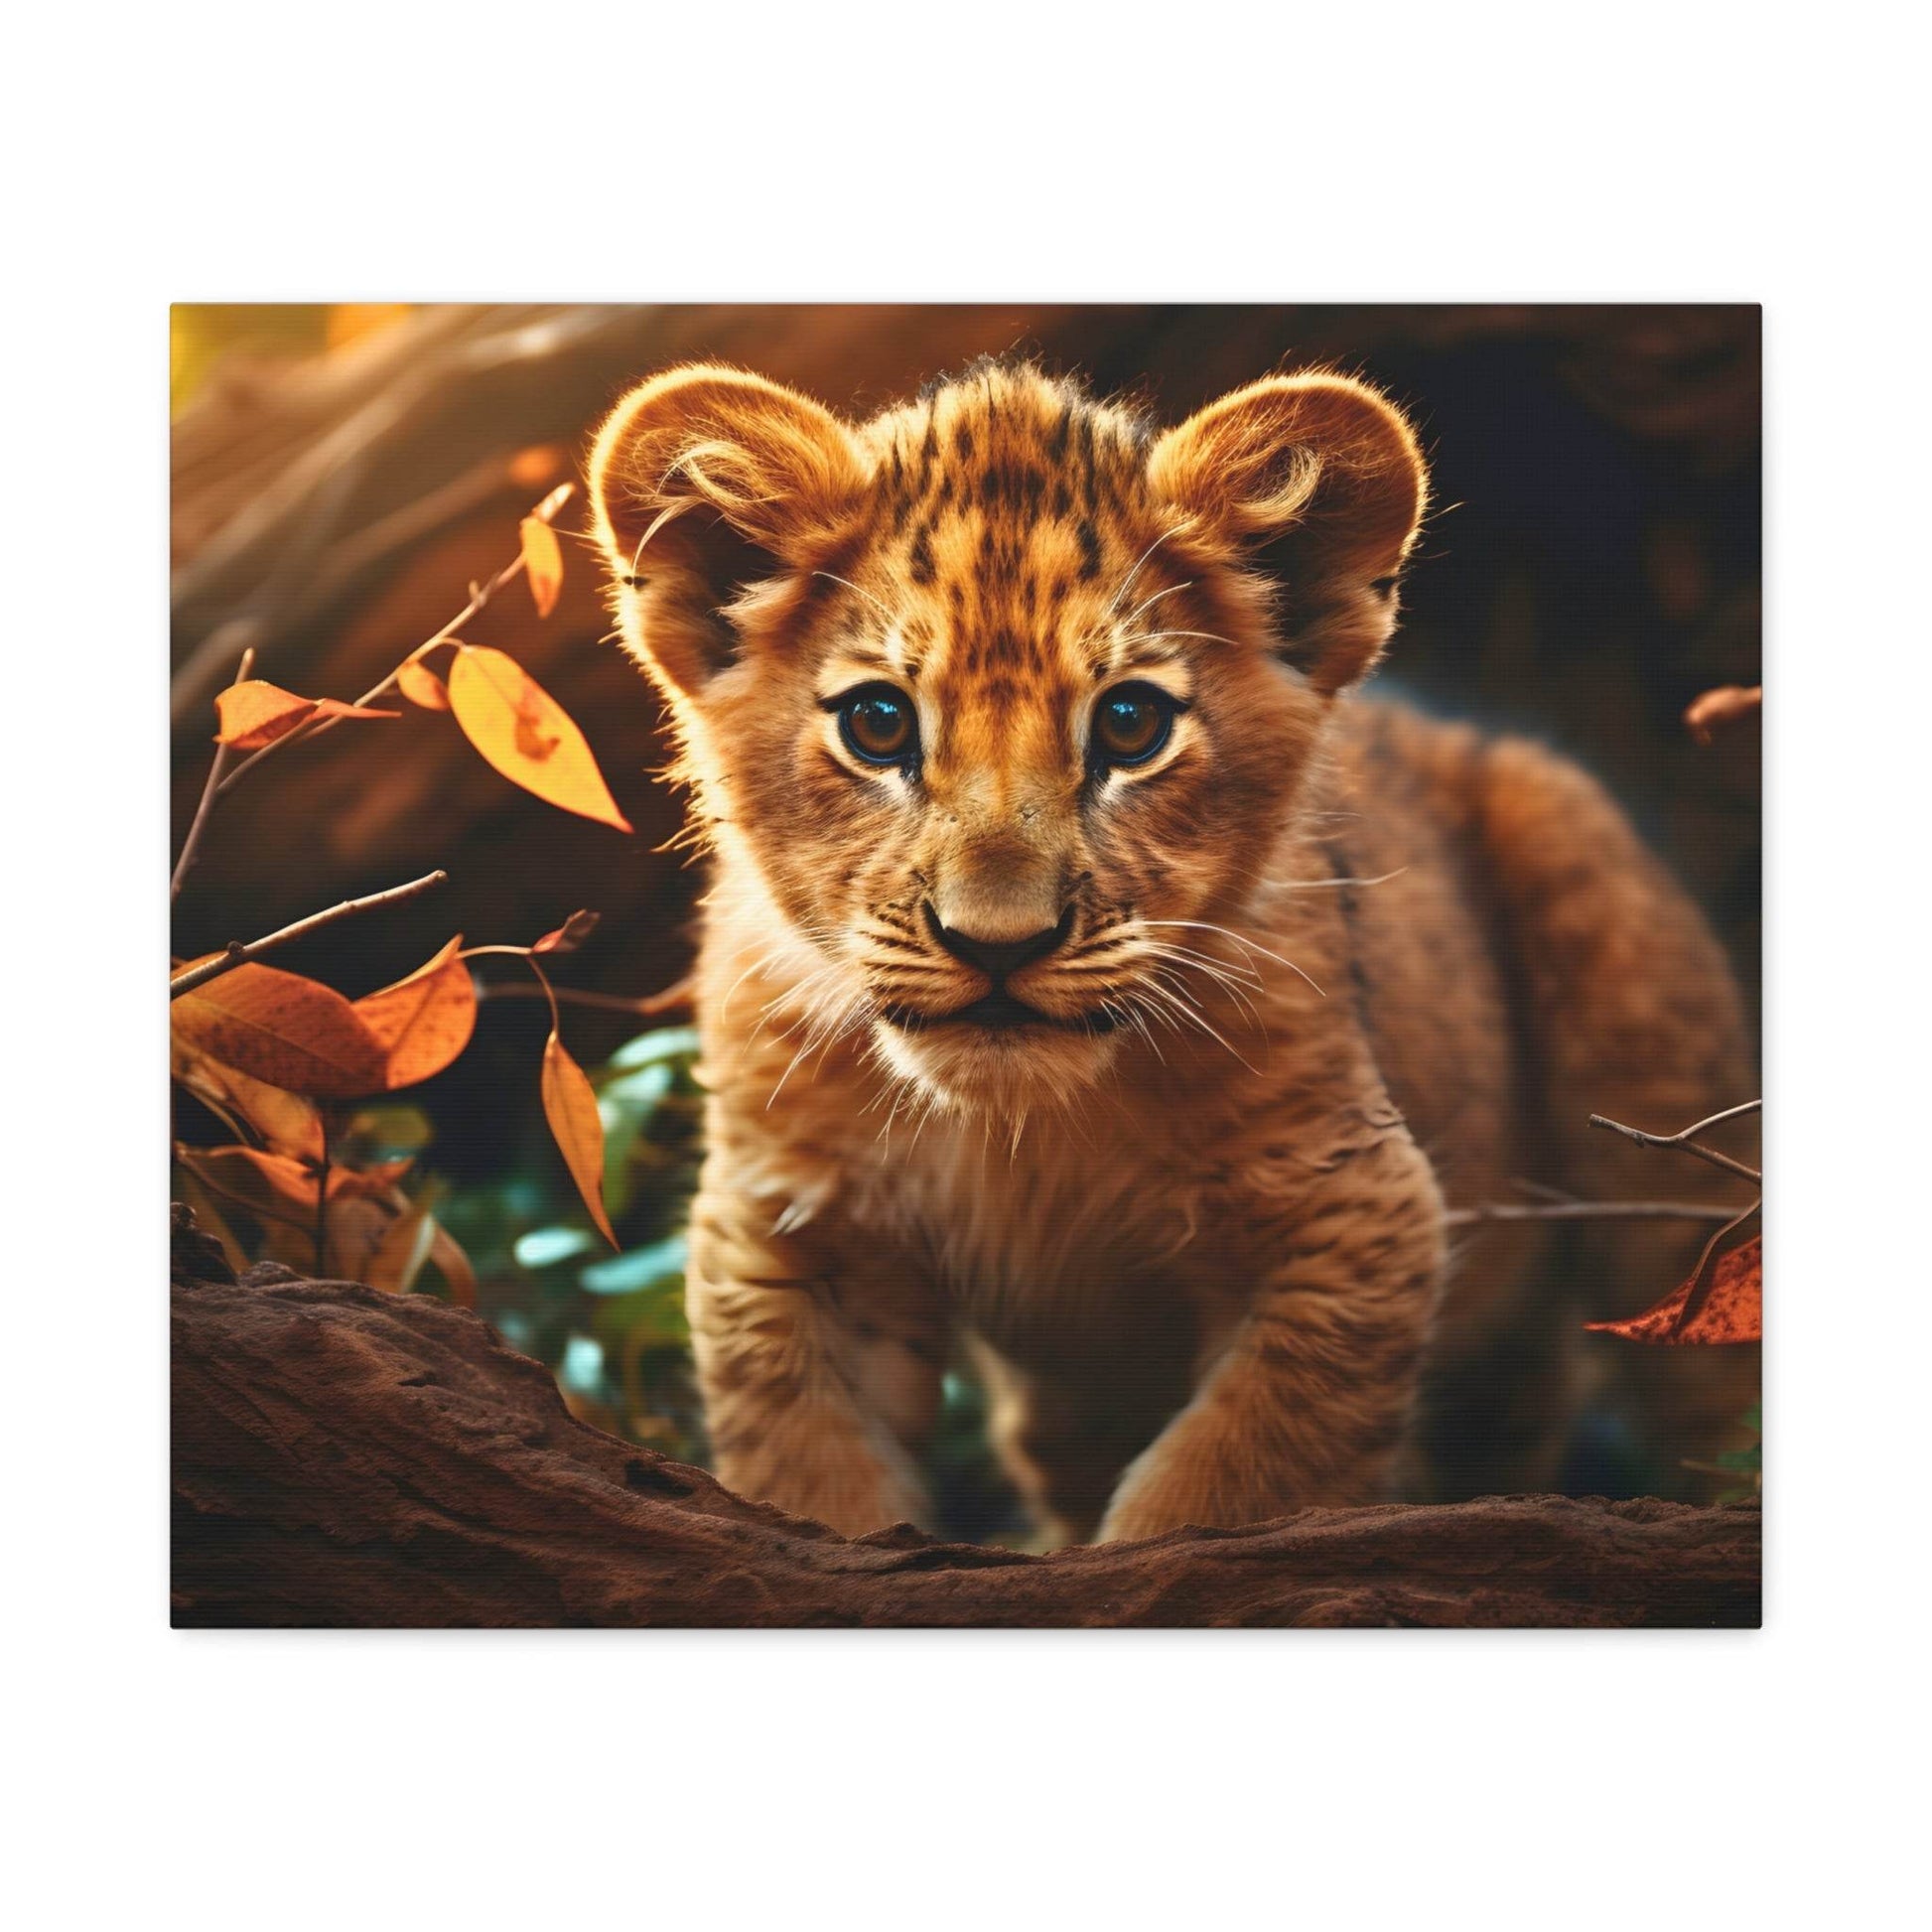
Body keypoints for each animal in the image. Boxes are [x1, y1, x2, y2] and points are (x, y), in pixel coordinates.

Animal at [585, 356, 1757, 1544]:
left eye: (1129, 725)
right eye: (877, 724)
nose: (997, 943)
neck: (1021, 1132)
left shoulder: (1353, 1211)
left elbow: (1215, 1484)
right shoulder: (792, 1235)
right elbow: (815, 1479)